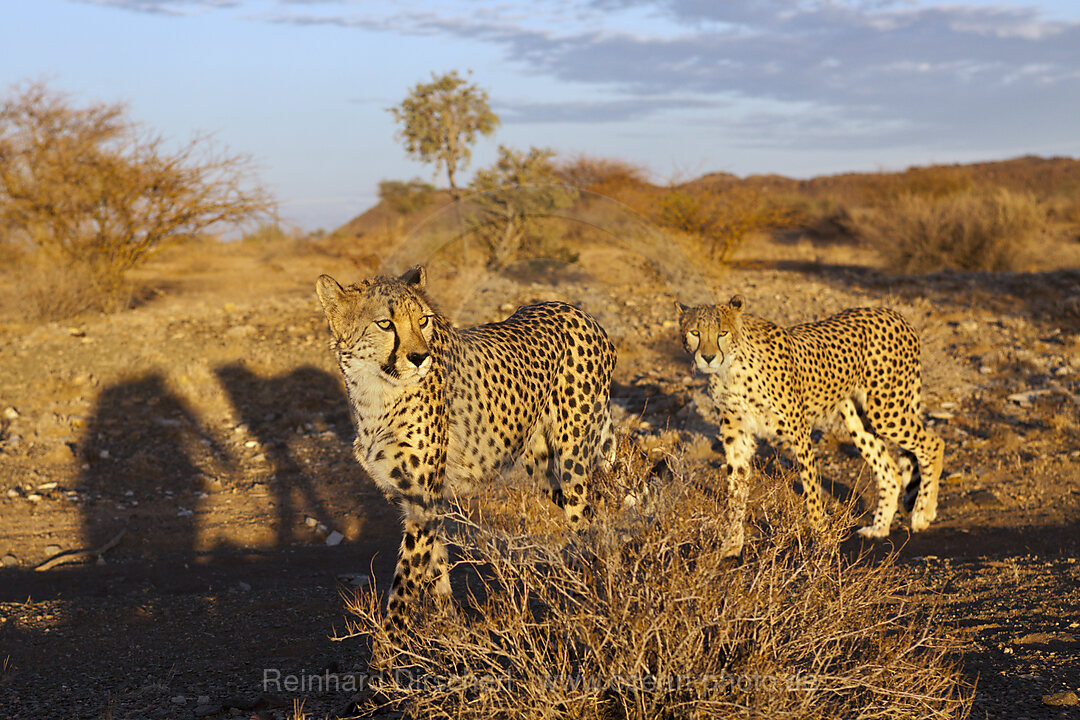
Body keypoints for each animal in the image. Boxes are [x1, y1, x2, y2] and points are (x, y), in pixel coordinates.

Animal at [315, 266, 617, 630]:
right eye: (384, 323)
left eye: (423, 320)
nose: (419, 358)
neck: (376, 393)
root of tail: (577, 311)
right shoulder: (415, 499)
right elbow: (434, 569)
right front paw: (449, 627)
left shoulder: (424, 499)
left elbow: (404, 586)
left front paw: (390, 643)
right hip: (544, 468)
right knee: (596, 511)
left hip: (572, 461)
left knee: (584, 517)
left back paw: (592, 600)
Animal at [678, 295, 941, 557]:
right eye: (695, 332)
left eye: (722, 332)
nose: (708, 358)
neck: (731, 369)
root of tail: (893, 313)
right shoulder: (736, 434)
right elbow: (736, 491)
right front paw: (732, 544)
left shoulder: (798, 430)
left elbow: (811, 488)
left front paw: (821, 537)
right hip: (857, 418)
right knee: (891, 471)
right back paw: (879, 528)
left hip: (886, 411)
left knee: (934, 443)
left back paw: (923, 513)